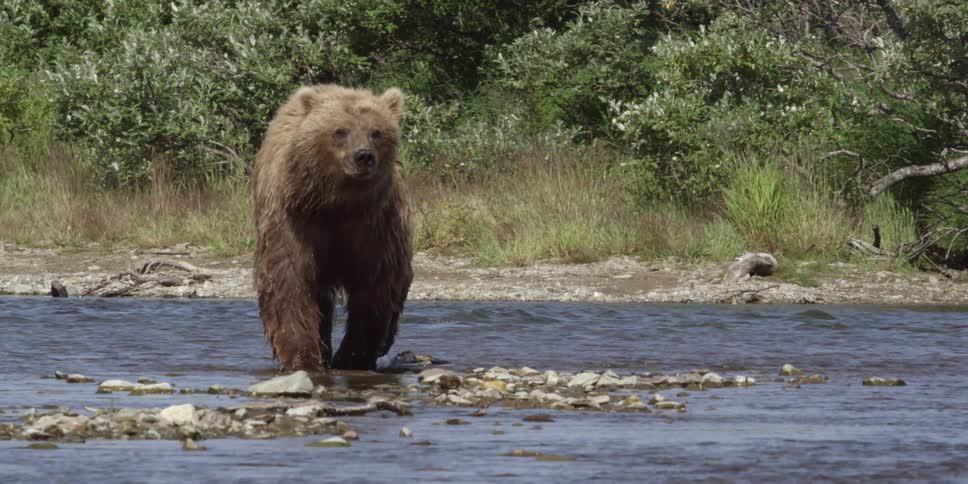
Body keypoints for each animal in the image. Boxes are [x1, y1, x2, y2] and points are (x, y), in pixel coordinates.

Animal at [251, 84, 413, 372]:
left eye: (376, 131)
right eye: (340, 131)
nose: (364, 156)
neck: (334, 203)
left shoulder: (374, 224)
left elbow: (374, 285)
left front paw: (353, 356)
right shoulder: (294, 221)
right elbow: (288, 282)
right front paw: (303, 357)